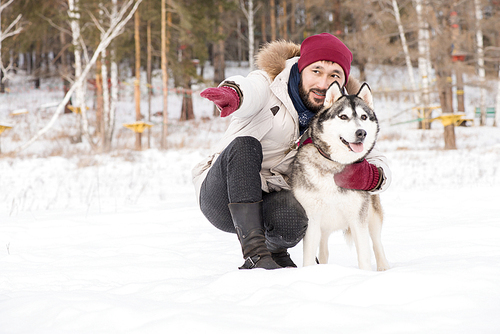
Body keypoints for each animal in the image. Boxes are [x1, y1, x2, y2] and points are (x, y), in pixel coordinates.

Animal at [290, 81, 390, 272]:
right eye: (343, 117)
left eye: (364, 117)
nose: (361, 133)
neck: (335, 165)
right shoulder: (312, 219)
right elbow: (309, 258)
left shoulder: (358, 219)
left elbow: (364, 255)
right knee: (323, 251)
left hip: (372, 217)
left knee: (377, 244)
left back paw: (384, 268)